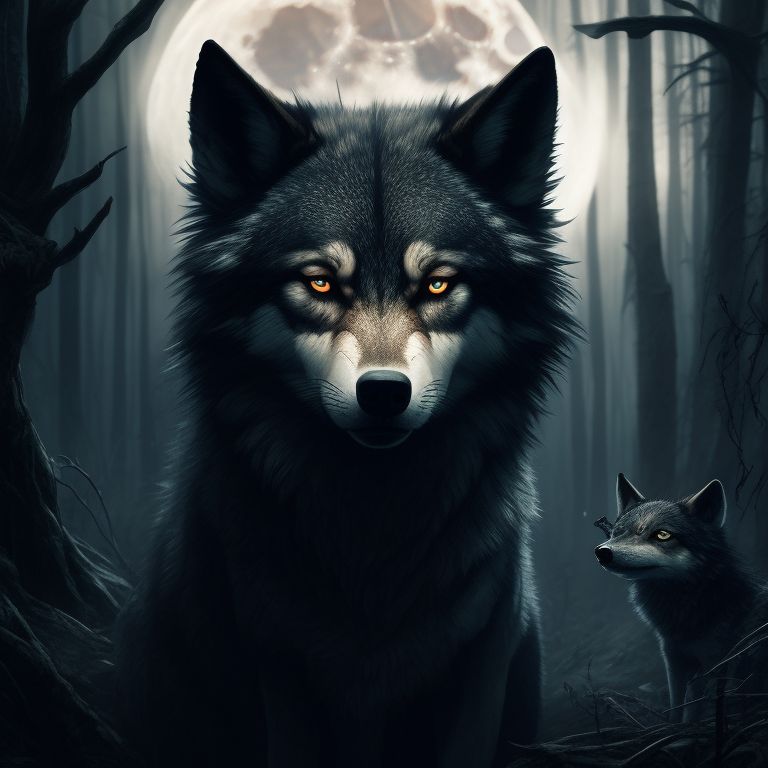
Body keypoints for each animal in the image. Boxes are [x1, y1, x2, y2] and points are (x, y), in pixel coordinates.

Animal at [116, 39, 573, 768]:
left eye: (437, 283)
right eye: (321, 283)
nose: (384, 393)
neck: (373, 523)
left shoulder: (480, 670)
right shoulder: (278, 670)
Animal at [595, 474, 768, 723]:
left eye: (662, 534)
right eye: (617, 532)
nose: (602, 552)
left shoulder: (714, 664)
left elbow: (696, 707)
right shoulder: (673, 659)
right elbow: (676, 706)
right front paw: (675, 727)